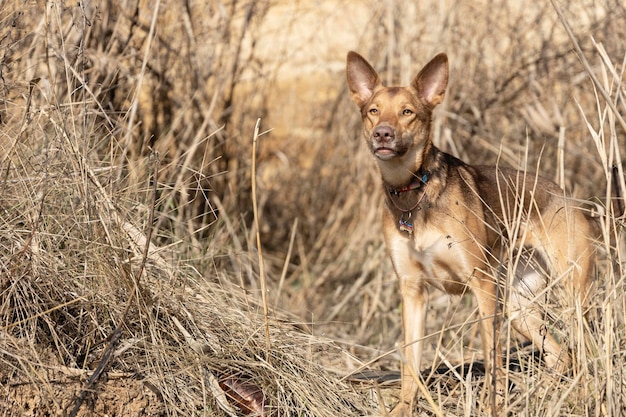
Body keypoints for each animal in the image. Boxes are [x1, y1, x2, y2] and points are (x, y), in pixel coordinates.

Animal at [346, 50, 596, 414]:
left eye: (408, 112)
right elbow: (410, 365)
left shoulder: (482, 285)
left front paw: (493, 407)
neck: (412, 190)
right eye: (373, 111)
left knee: (584, 349)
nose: (382, 134)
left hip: (572, 293)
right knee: (561, 355)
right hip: (519, 307)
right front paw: (403, 408)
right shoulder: (412, 292)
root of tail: (562, 192)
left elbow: (492, 363)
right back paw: (546, 396)